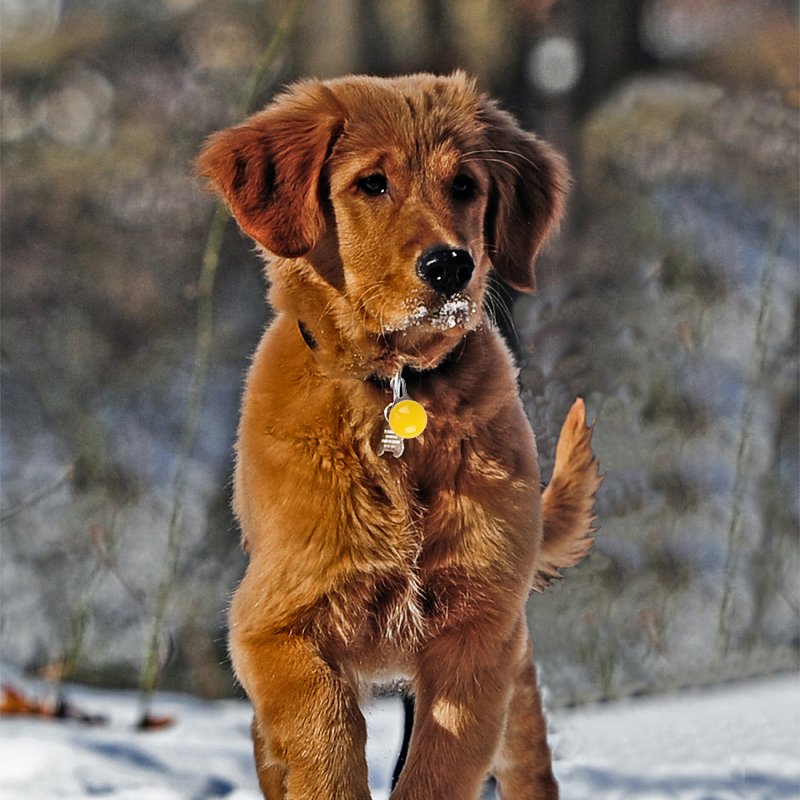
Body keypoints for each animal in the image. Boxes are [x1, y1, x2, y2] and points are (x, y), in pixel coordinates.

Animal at [198, 72, 600, 796]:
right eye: (372, 184)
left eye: (465, 185)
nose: (450, 266)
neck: (397, 390)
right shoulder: (273, 623)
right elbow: (325, 731)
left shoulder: (480, 630)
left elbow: (438, 768)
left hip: (518, 672)